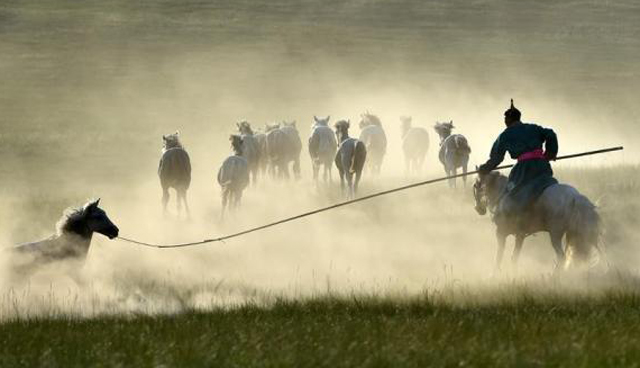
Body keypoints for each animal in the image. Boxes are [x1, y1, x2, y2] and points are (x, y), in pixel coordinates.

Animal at [472, 172, 604, 270]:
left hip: (555, 234)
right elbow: (514, 257)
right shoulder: (520, 236)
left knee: (561, 257)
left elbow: (499, 255)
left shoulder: (501, 233)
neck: (503, 194)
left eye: (476, 185)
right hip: (572, 234)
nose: (478, 209)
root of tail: (575, 197)